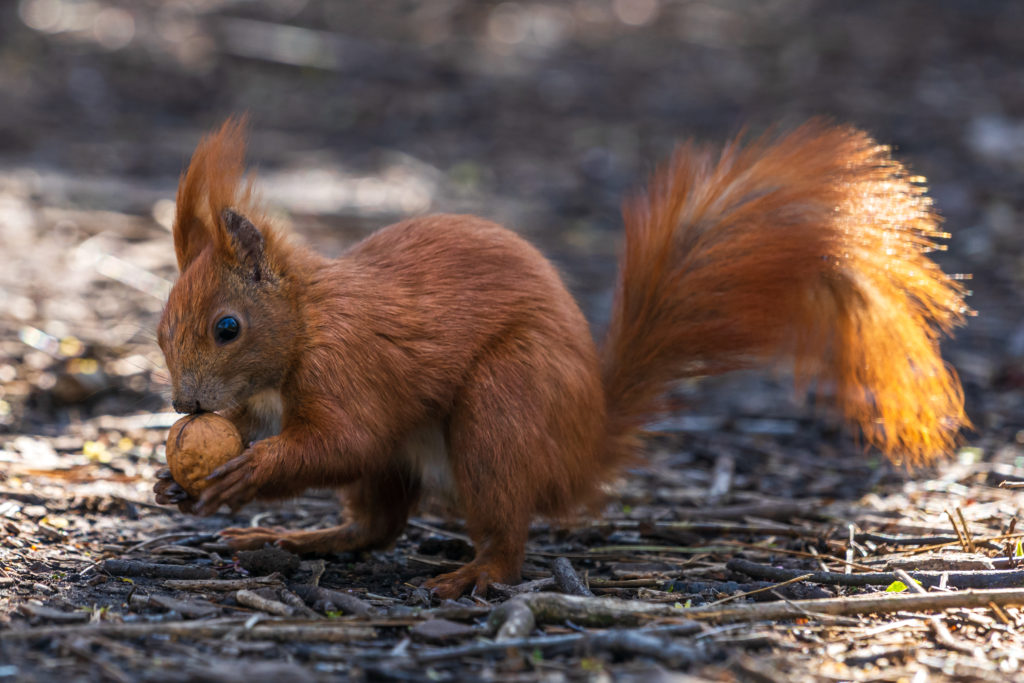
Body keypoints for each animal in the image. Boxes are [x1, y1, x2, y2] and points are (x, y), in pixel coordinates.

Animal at [151, 117, 966, 598]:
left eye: (227, 327)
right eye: (159, 333)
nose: (186, 405)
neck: (306, 322)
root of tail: (582, 445)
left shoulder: (350, 364)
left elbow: (342, 439)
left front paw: (245, 472)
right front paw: (177, 485)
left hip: (502, 408)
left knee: (502, 530)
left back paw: (472, 575)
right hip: (426, 451)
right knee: (376, 524)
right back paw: (296, 536)